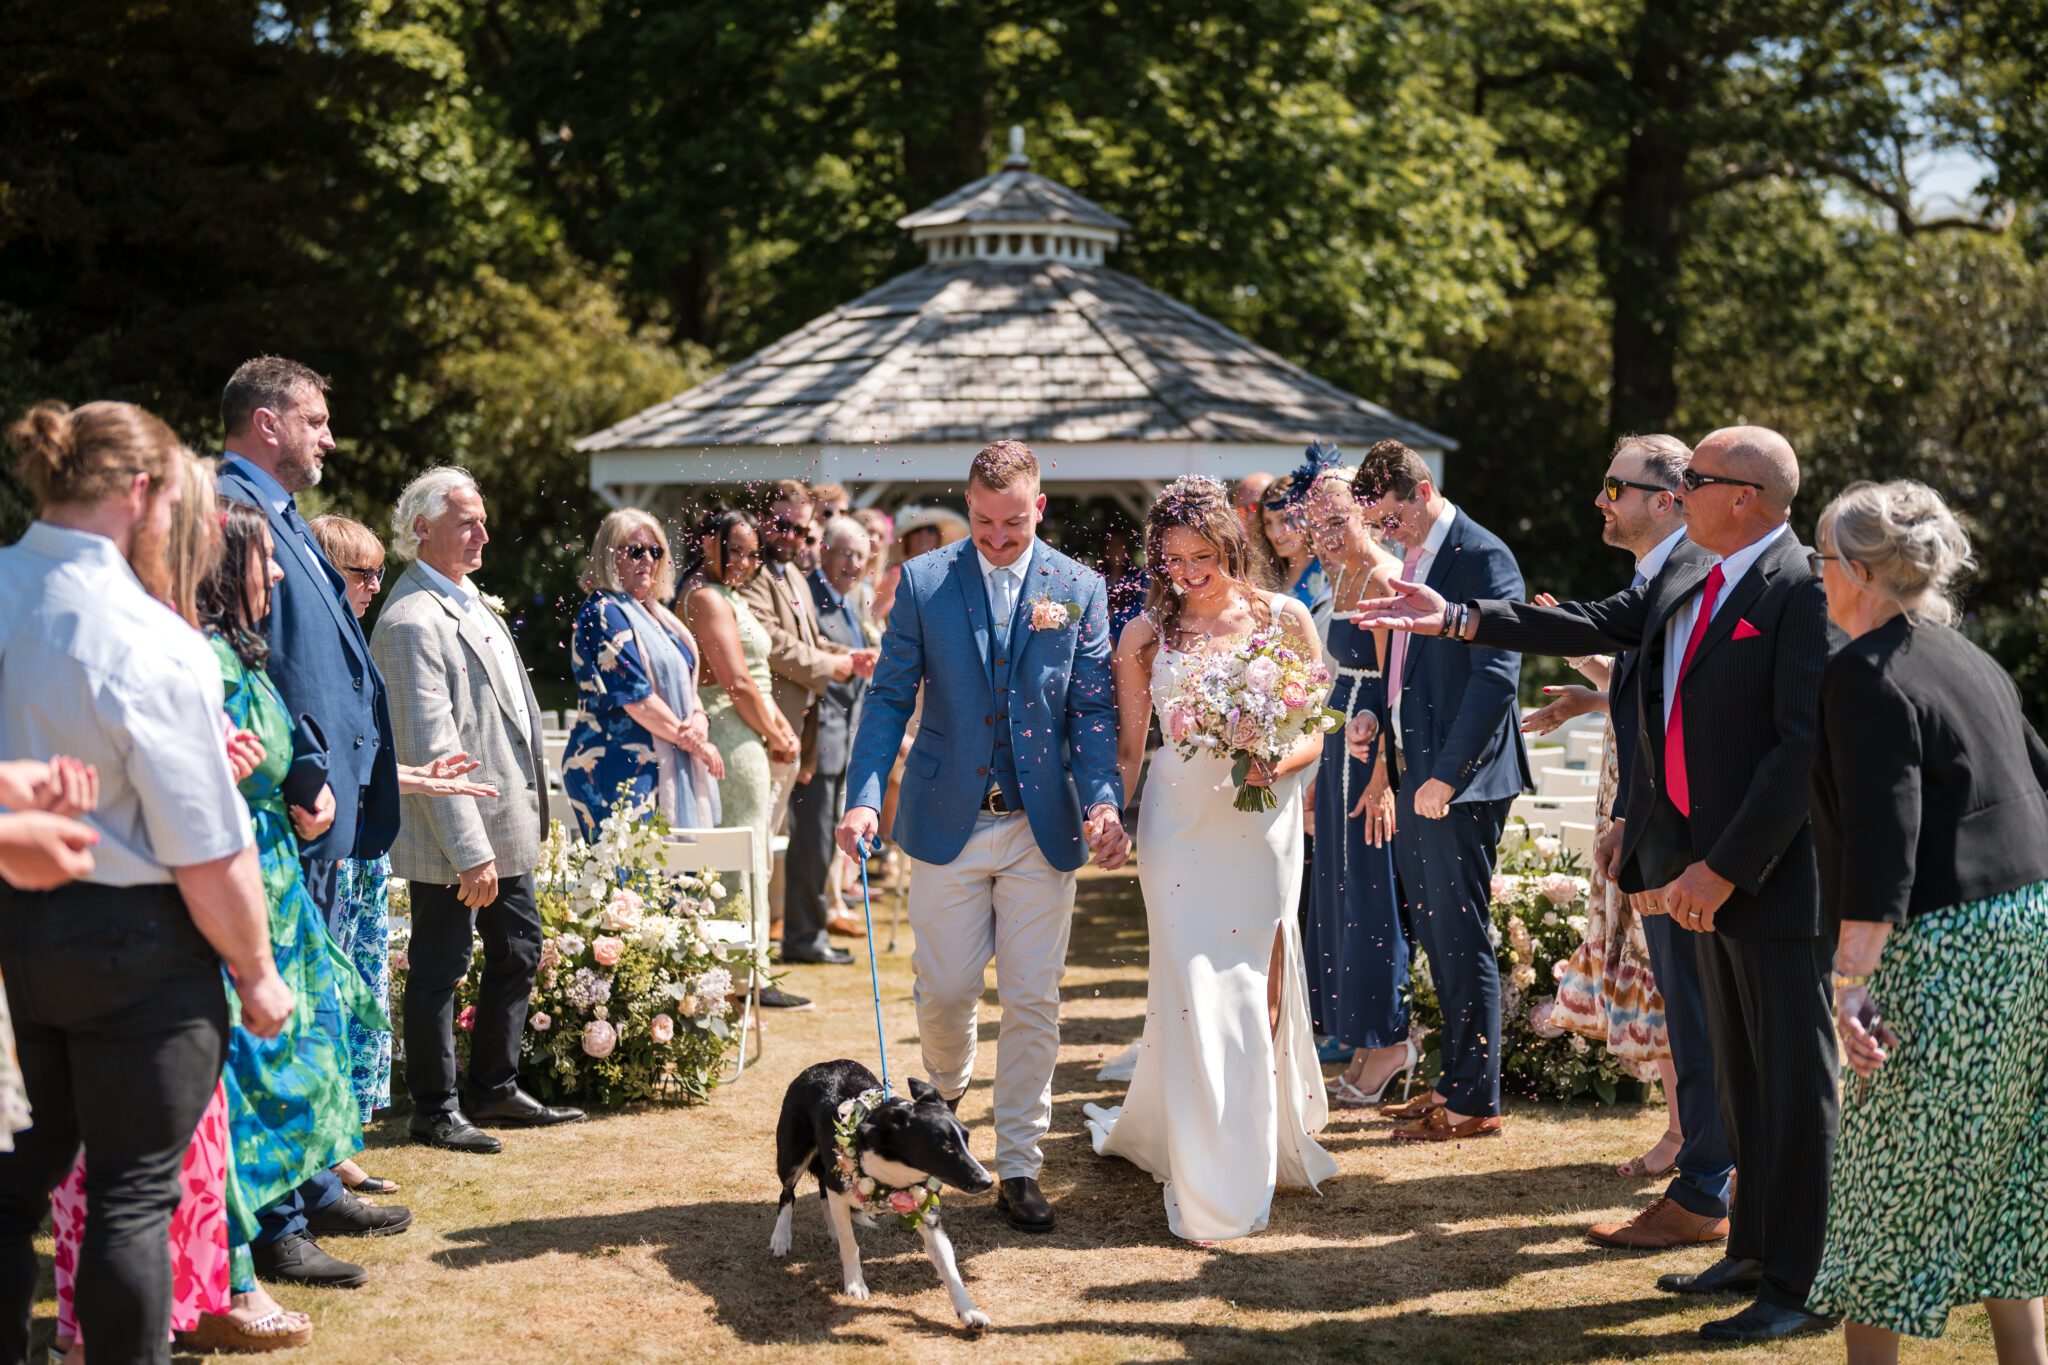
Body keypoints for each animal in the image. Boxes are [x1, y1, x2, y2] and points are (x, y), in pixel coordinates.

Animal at [772, 1059, 995, 1328]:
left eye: (967, 1139)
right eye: (945, 1147)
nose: (987, 1181)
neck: (894, 1167)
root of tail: (823, 1065)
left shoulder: (926, 1211)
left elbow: (949, 1267)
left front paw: (969, 1311)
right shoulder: (839, 1183)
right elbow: (850, 1244)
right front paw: (855, 1285)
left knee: (824, 1193)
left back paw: (832, 1227)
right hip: (792, 1154)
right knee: (788, 1194)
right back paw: (781, 1237)